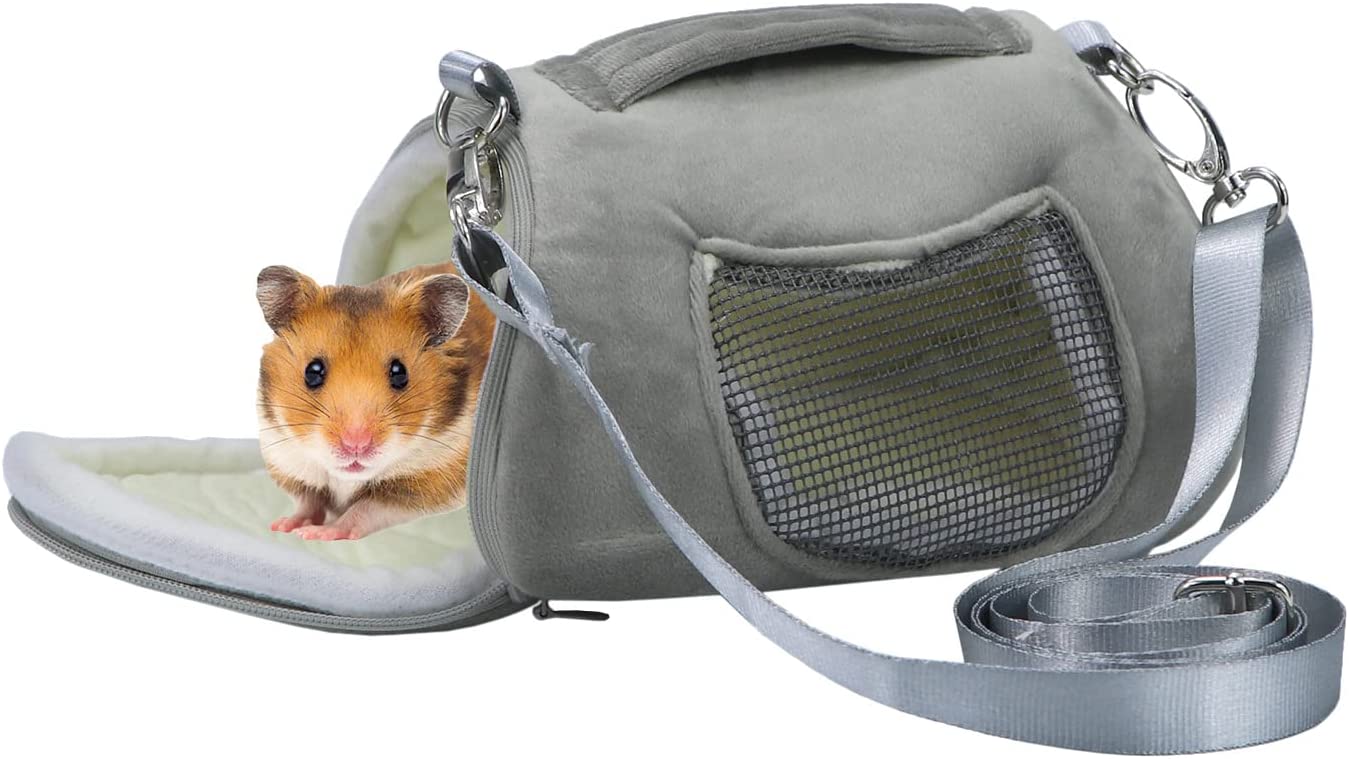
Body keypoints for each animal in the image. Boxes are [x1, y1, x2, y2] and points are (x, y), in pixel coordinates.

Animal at [254, 262, 495, 540]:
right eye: (313, 371)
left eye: (399, 372)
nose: (356, 444)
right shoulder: (290, 462)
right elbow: (308, 501)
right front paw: (284, 526)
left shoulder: (427, 483)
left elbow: (365, 508)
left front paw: (318, 533)